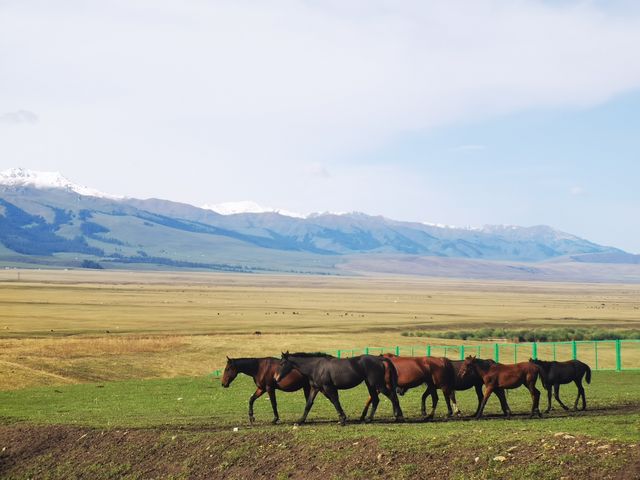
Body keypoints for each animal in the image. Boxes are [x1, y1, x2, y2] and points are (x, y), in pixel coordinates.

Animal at [276, 350, 404, 426]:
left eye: (282, 363)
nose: (276, 378)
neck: (315, 367)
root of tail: (380, 359)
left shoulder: (328, 387)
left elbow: (335, 401)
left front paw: (342, 419)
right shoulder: (316, 388)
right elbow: (309, 404)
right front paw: (300, 421)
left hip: (378, 384)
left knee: (392, 396)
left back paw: (398, 417)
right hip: (370, 385)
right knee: (377, 400)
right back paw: (369, 419)